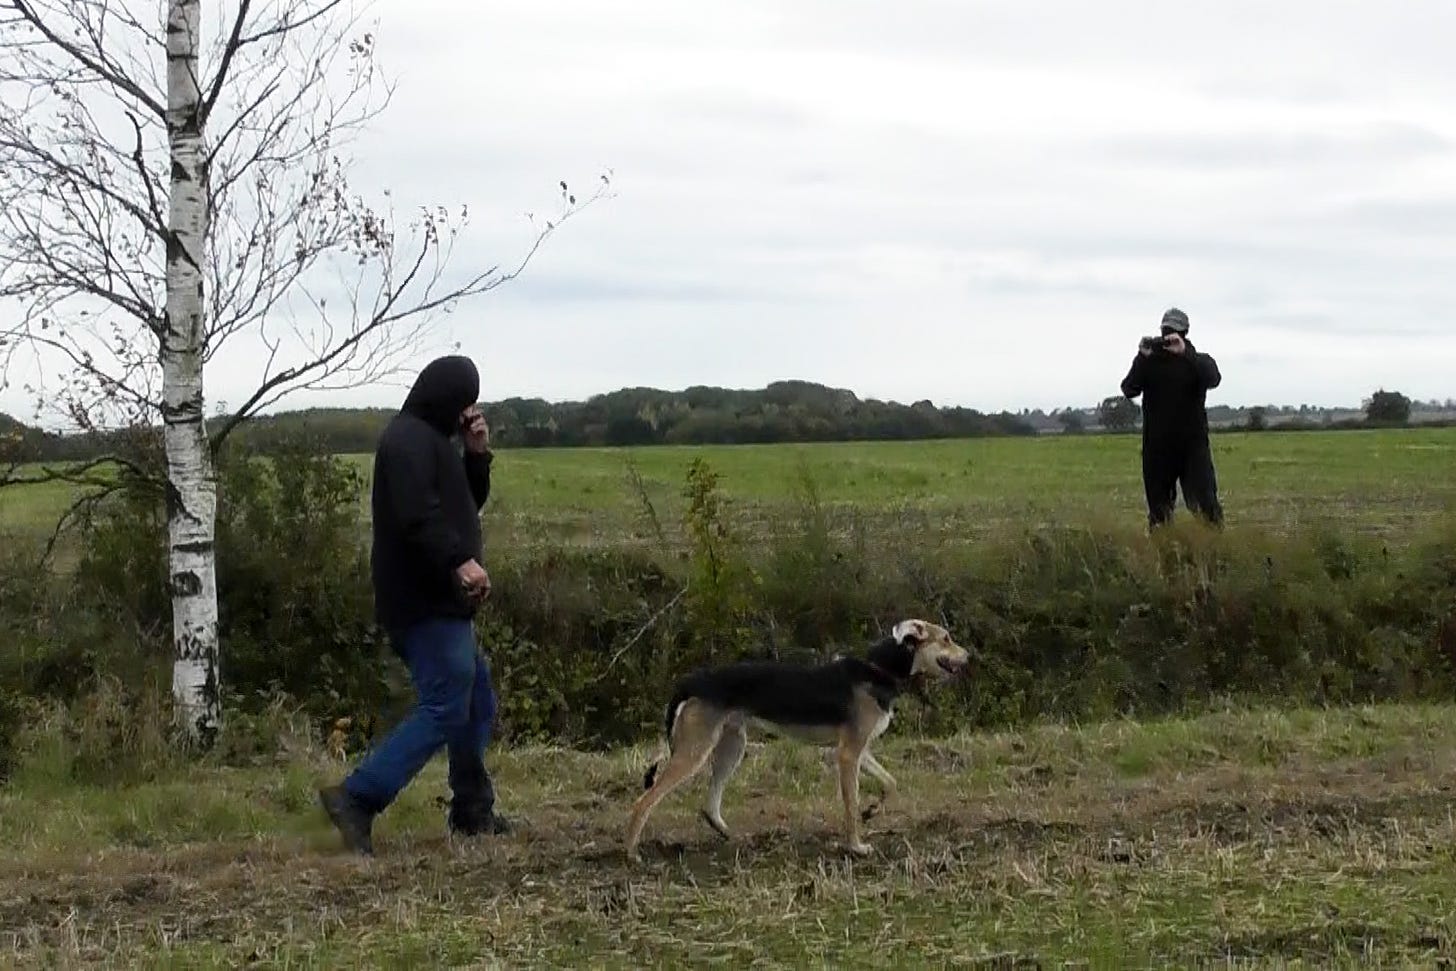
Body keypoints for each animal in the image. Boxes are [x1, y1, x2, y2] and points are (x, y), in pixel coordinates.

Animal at [623, 620, 972, 861]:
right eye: (946, 639)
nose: (969, 655)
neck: (877, 671)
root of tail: (689, 682)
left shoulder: (857, 751)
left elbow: (890, 783)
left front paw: (871, 811)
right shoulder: (847, 755)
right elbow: (850, 805)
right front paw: (855, 845)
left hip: (732, 746)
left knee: (709, 805)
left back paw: (730, 836)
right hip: (694, 753)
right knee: (642, 803)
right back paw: (631, 853)